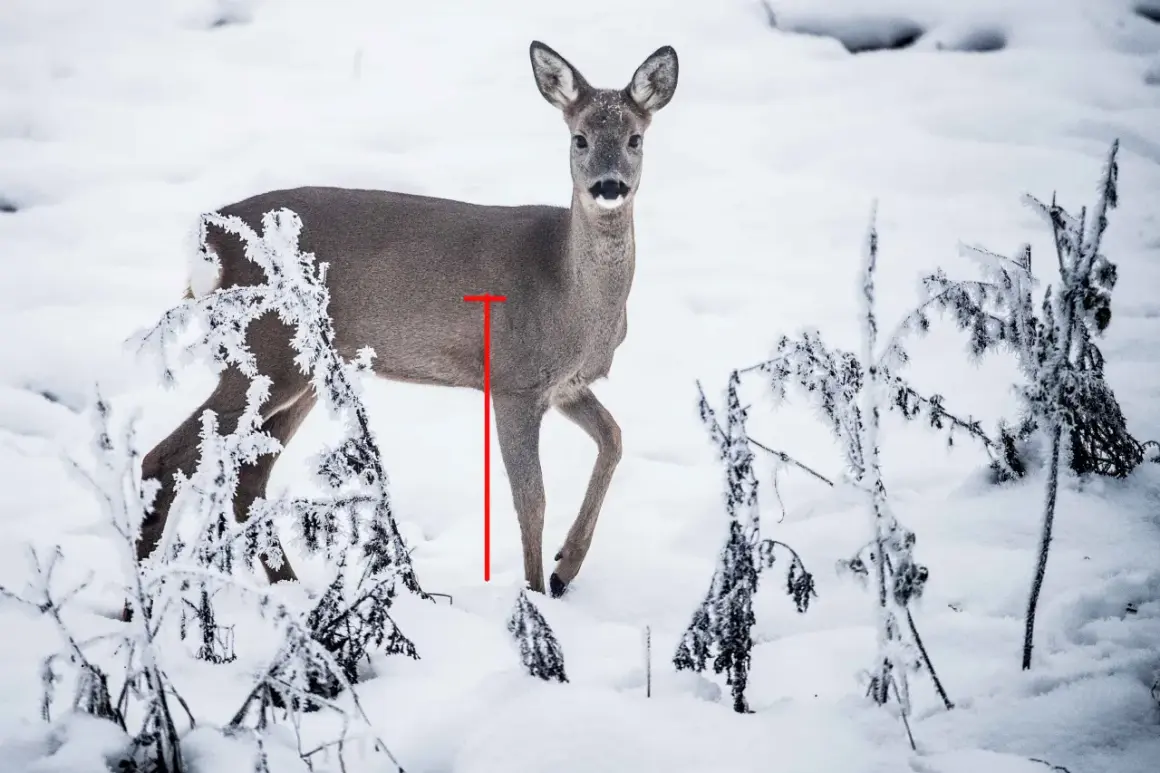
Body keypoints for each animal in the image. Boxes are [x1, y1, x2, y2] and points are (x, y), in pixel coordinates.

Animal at [135, 41, 679, 601]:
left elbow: (614, 439)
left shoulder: (566, 385)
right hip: (265, 350)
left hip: (298, 367)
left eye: (635, 138)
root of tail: (206, 242)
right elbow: (532, 499)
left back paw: (293, 591)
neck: (572, 297)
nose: (609, 186)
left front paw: (564, 568)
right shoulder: (514, 380)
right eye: (580, 138)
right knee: (162, 457)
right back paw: (141, 600)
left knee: (249, 477)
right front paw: (535, 593)